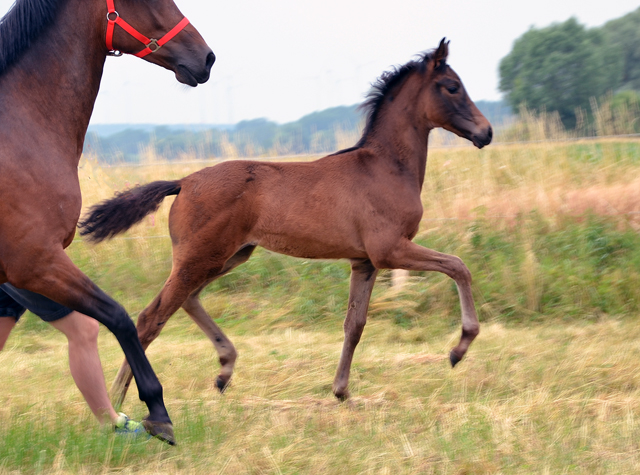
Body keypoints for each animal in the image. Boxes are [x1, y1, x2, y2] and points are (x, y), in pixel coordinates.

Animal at [79, 40, 490, 406]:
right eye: (452, 86)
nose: (485, 132)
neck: (386, 167)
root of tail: (184, 181)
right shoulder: (390, 250)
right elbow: (459, 266)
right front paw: (459, 348)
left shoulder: (365, 261)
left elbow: (354, 325)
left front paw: (341, 391)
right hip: (200, 257)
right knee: (152, 316)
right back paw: (119, 399)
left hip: (227, 256)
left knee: (188, 300)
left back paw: (224, 369)